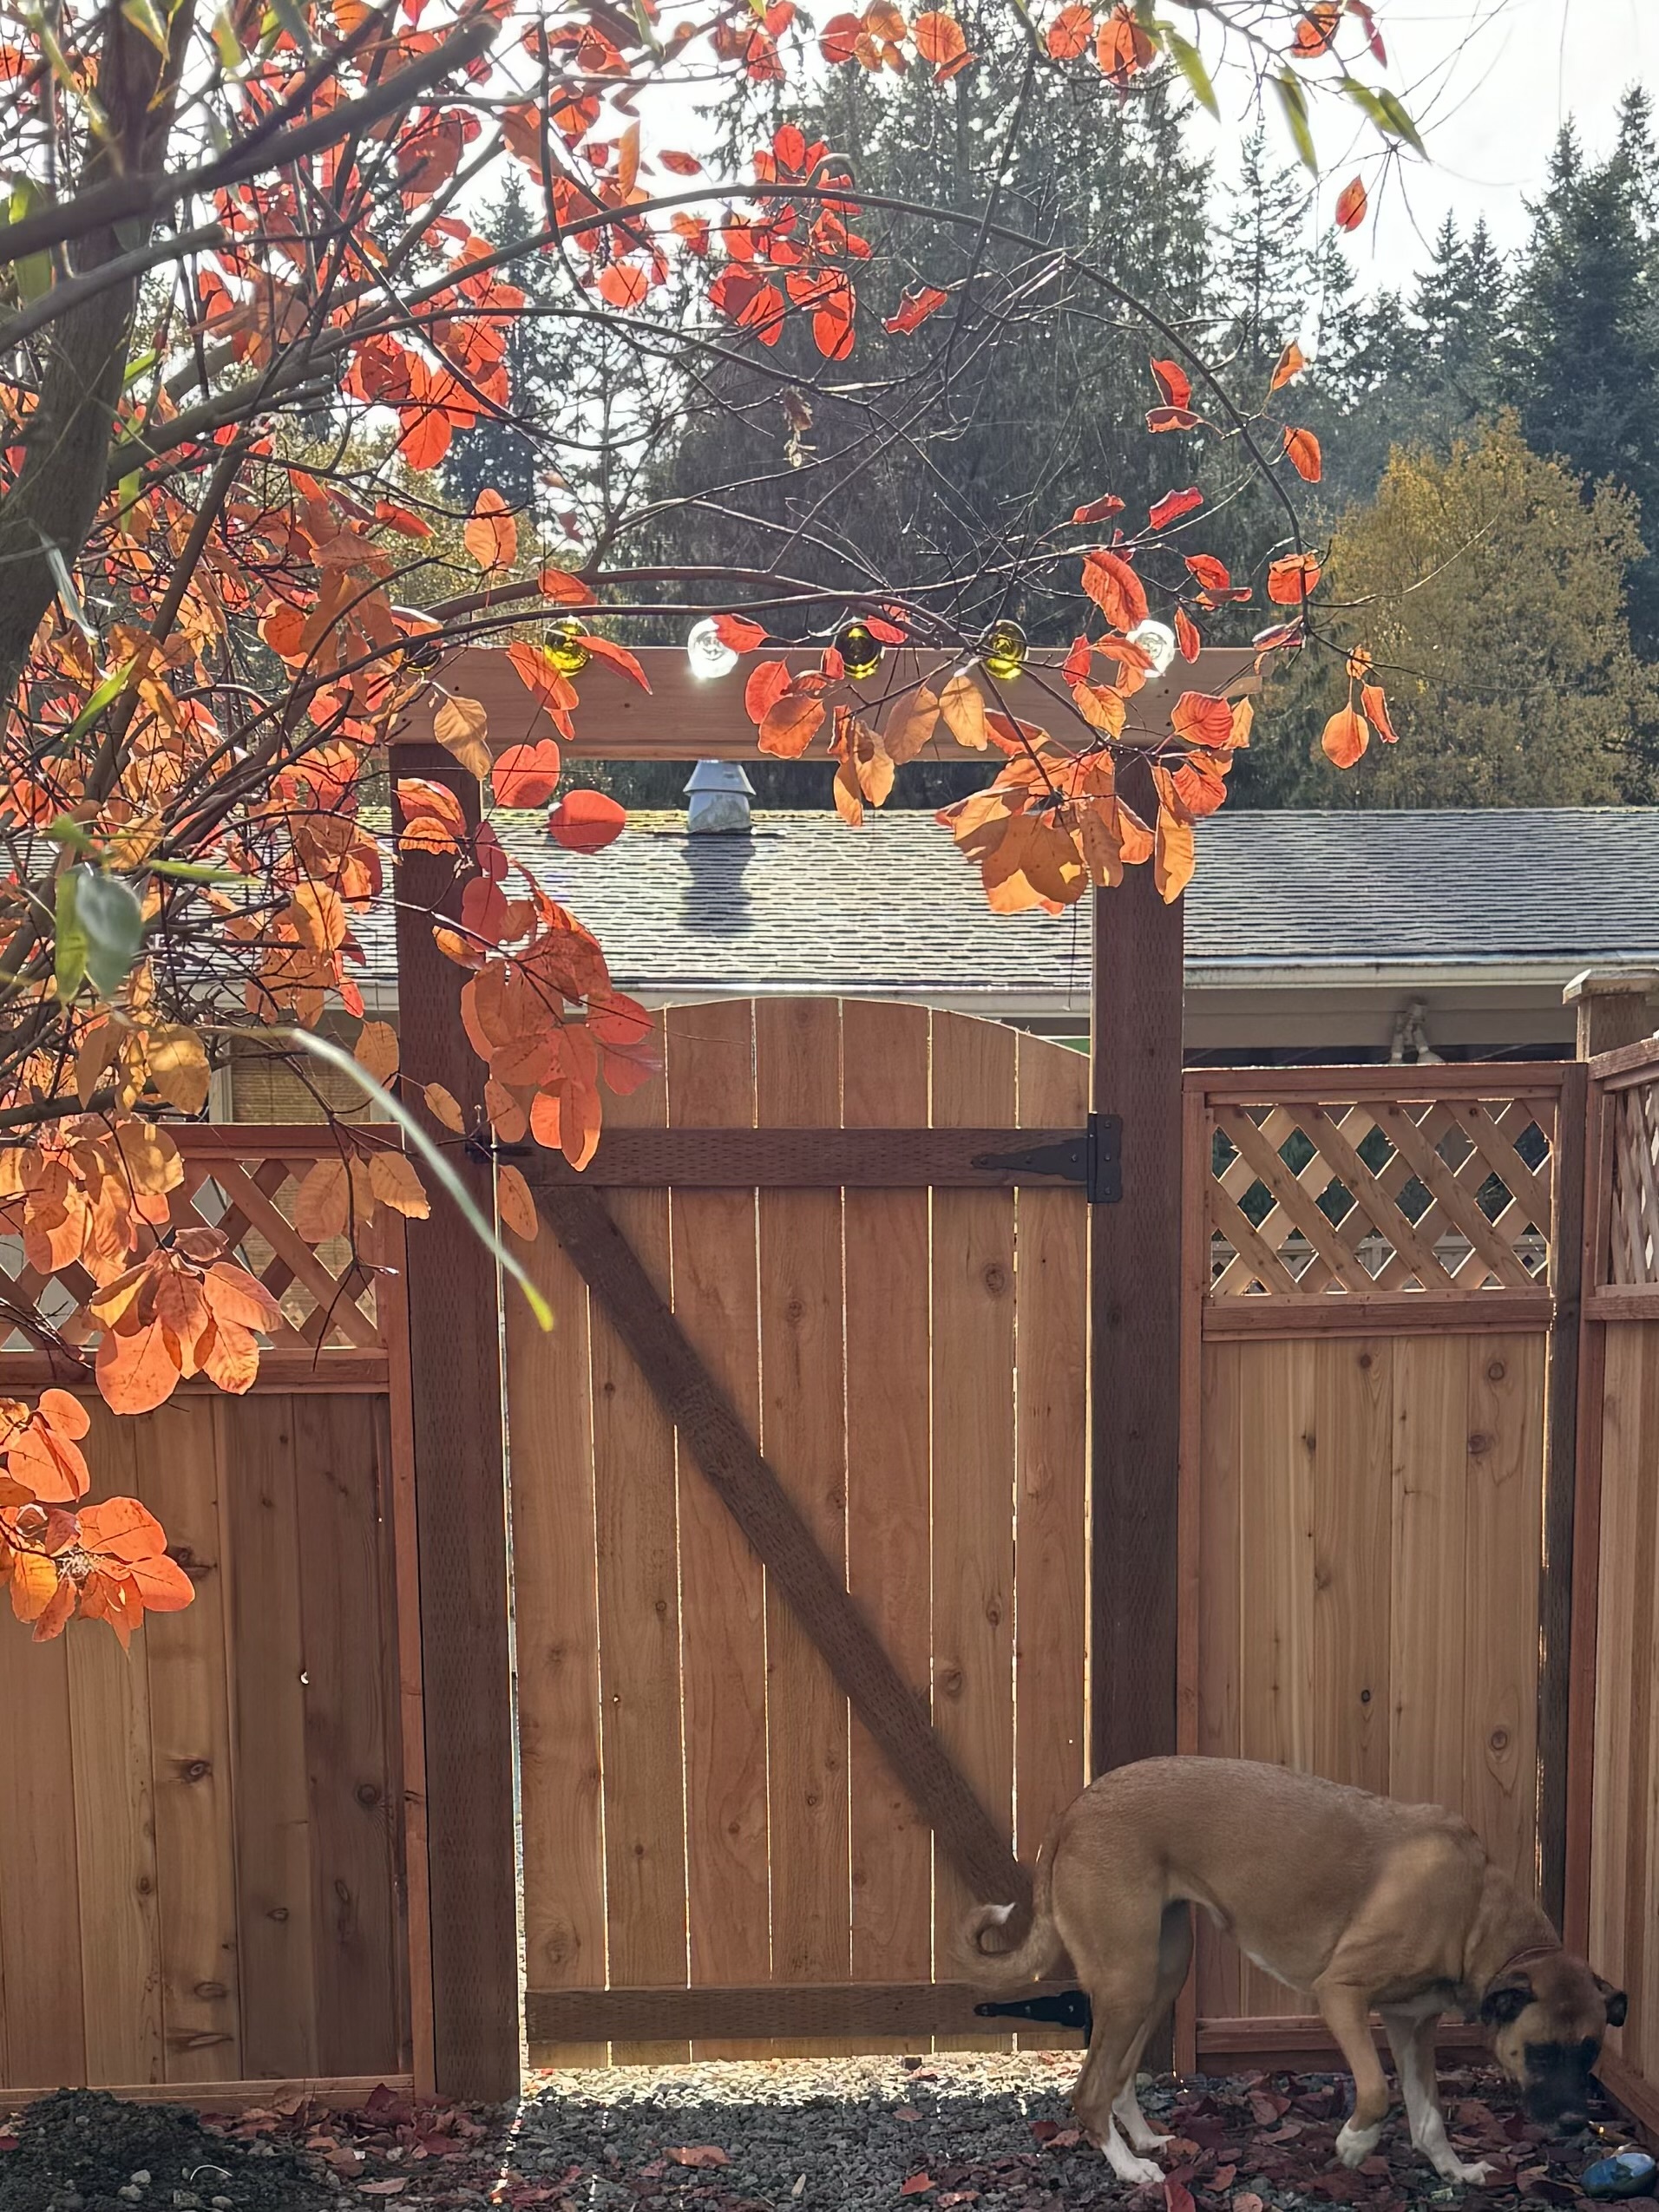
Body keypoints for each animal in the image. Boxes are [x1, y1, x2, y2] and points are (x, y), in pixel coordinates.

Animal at [968, 1751, 1628, 2185]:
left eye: (1590, 2051)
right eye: (1540, 2052)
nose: (1577, 2124)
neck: (1474, 1911)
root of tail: (1076, 1808)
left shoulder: (1413, 2026)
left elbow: (1429, 2116)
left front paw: (1454, 2171)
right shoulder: (1340, 1993)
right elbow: (1374, 2090)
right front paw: (1355, 2146)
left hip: (1159, 1976)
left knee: (1119, 2074)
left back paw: (1146, 2139)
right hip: (1128, 1980)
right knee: (1088, 2091)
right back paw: (1131, 2169)